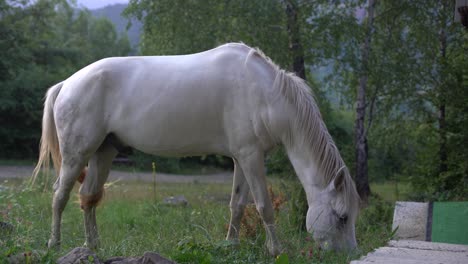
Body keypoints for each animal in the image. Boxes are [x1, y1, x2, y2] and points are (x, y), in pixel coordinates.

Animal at [33, 42, 360, 255]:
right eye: (343, 217)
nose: (350, 255)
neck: (265, 94)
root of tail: (67, 83)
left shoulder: (243, 158)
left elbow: (238, 204)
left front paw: (231, 246)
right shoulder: (251, 157)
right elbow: (264, 205)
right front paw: (276, 250)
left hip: (104, 152)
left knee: (88, 197)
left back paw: (93, 247)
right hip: (77, 155)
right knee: (60, 196)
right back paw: (53, 244)